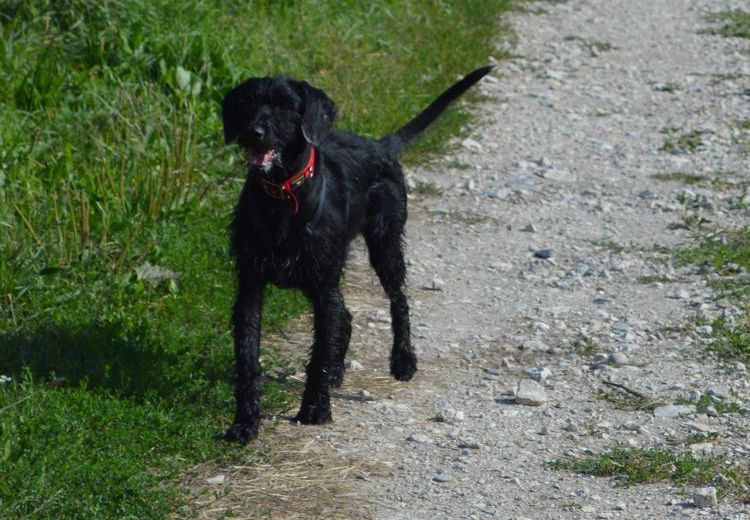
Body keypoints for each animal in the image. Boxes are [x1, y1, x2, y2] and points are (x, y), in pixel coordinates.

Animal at [223, 64, 494, 438]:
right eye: (248, 103)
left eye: (284, 106)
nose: (253, 133)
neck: (283, 196)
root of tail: (381, 145)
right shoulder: (251, 285)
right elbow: (249, 357)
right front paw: (245, 422)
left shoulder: (323, 284)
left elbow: (319, 353)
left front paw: (315, 408)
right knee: (346, 316)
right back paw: (339, 372)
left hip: (385, 245)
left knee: (398, 300)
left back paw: (403, 360)